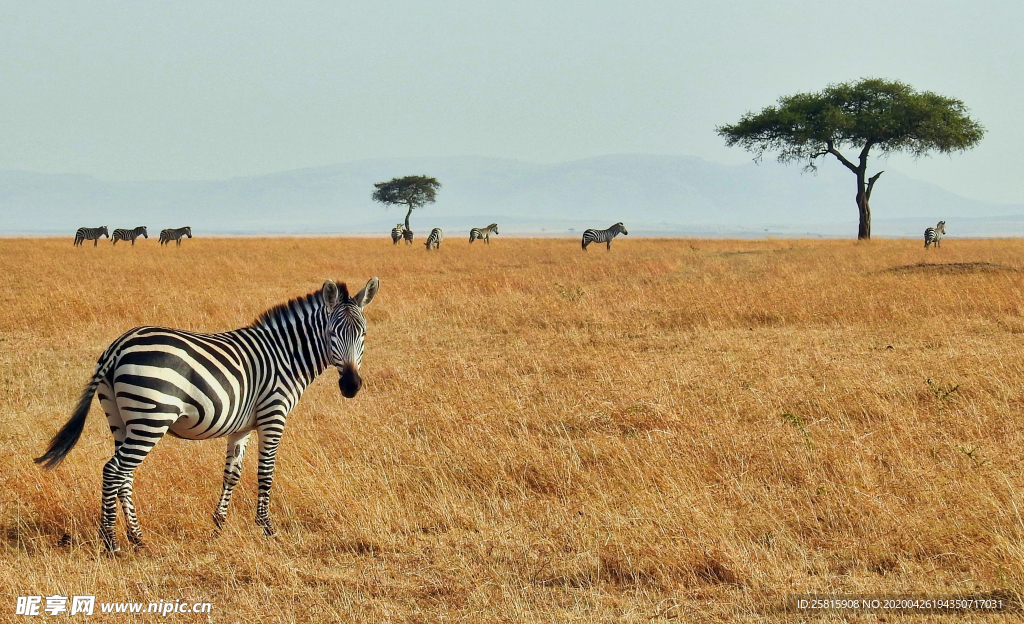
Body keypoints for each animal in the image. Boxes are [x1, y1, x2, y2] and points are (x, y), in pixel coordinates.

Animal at [36, 276, 382, 549]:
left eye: (363, 334)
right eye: (333, 333)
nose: (351, 386)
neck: (285, 355)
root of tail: (119, 344)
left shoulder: (242, 426)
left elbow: (232, 474)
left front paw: (219, 526)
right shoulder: (273, 415)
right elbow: (266, 473)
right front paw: (267, 528)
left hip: (120, 419)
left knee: (124, 474)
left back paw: (137, 537)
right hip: (152, 417)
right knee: (113, 471)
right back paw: (111, 542)